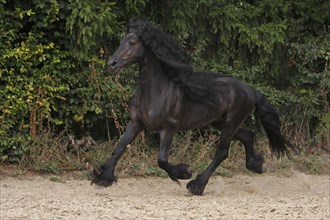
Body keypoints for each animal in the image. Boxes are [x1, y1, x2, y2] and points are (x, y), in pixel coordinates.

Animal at [90, 18, 294, 194]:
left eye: (132, 42)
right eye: (122, 41)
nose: (112, 64)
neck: (156, 90)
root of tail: (249, 89)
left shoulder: (169, 128)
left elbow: (162, 160)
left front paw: (184, 172)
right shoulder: (136, 123)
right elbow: (119, 148)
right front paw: (102, 178)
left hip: (231, 121)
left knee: (222, 152)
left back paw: (197, 185)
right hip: (219, 122)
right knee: (247, 135)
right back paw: (256, 165)